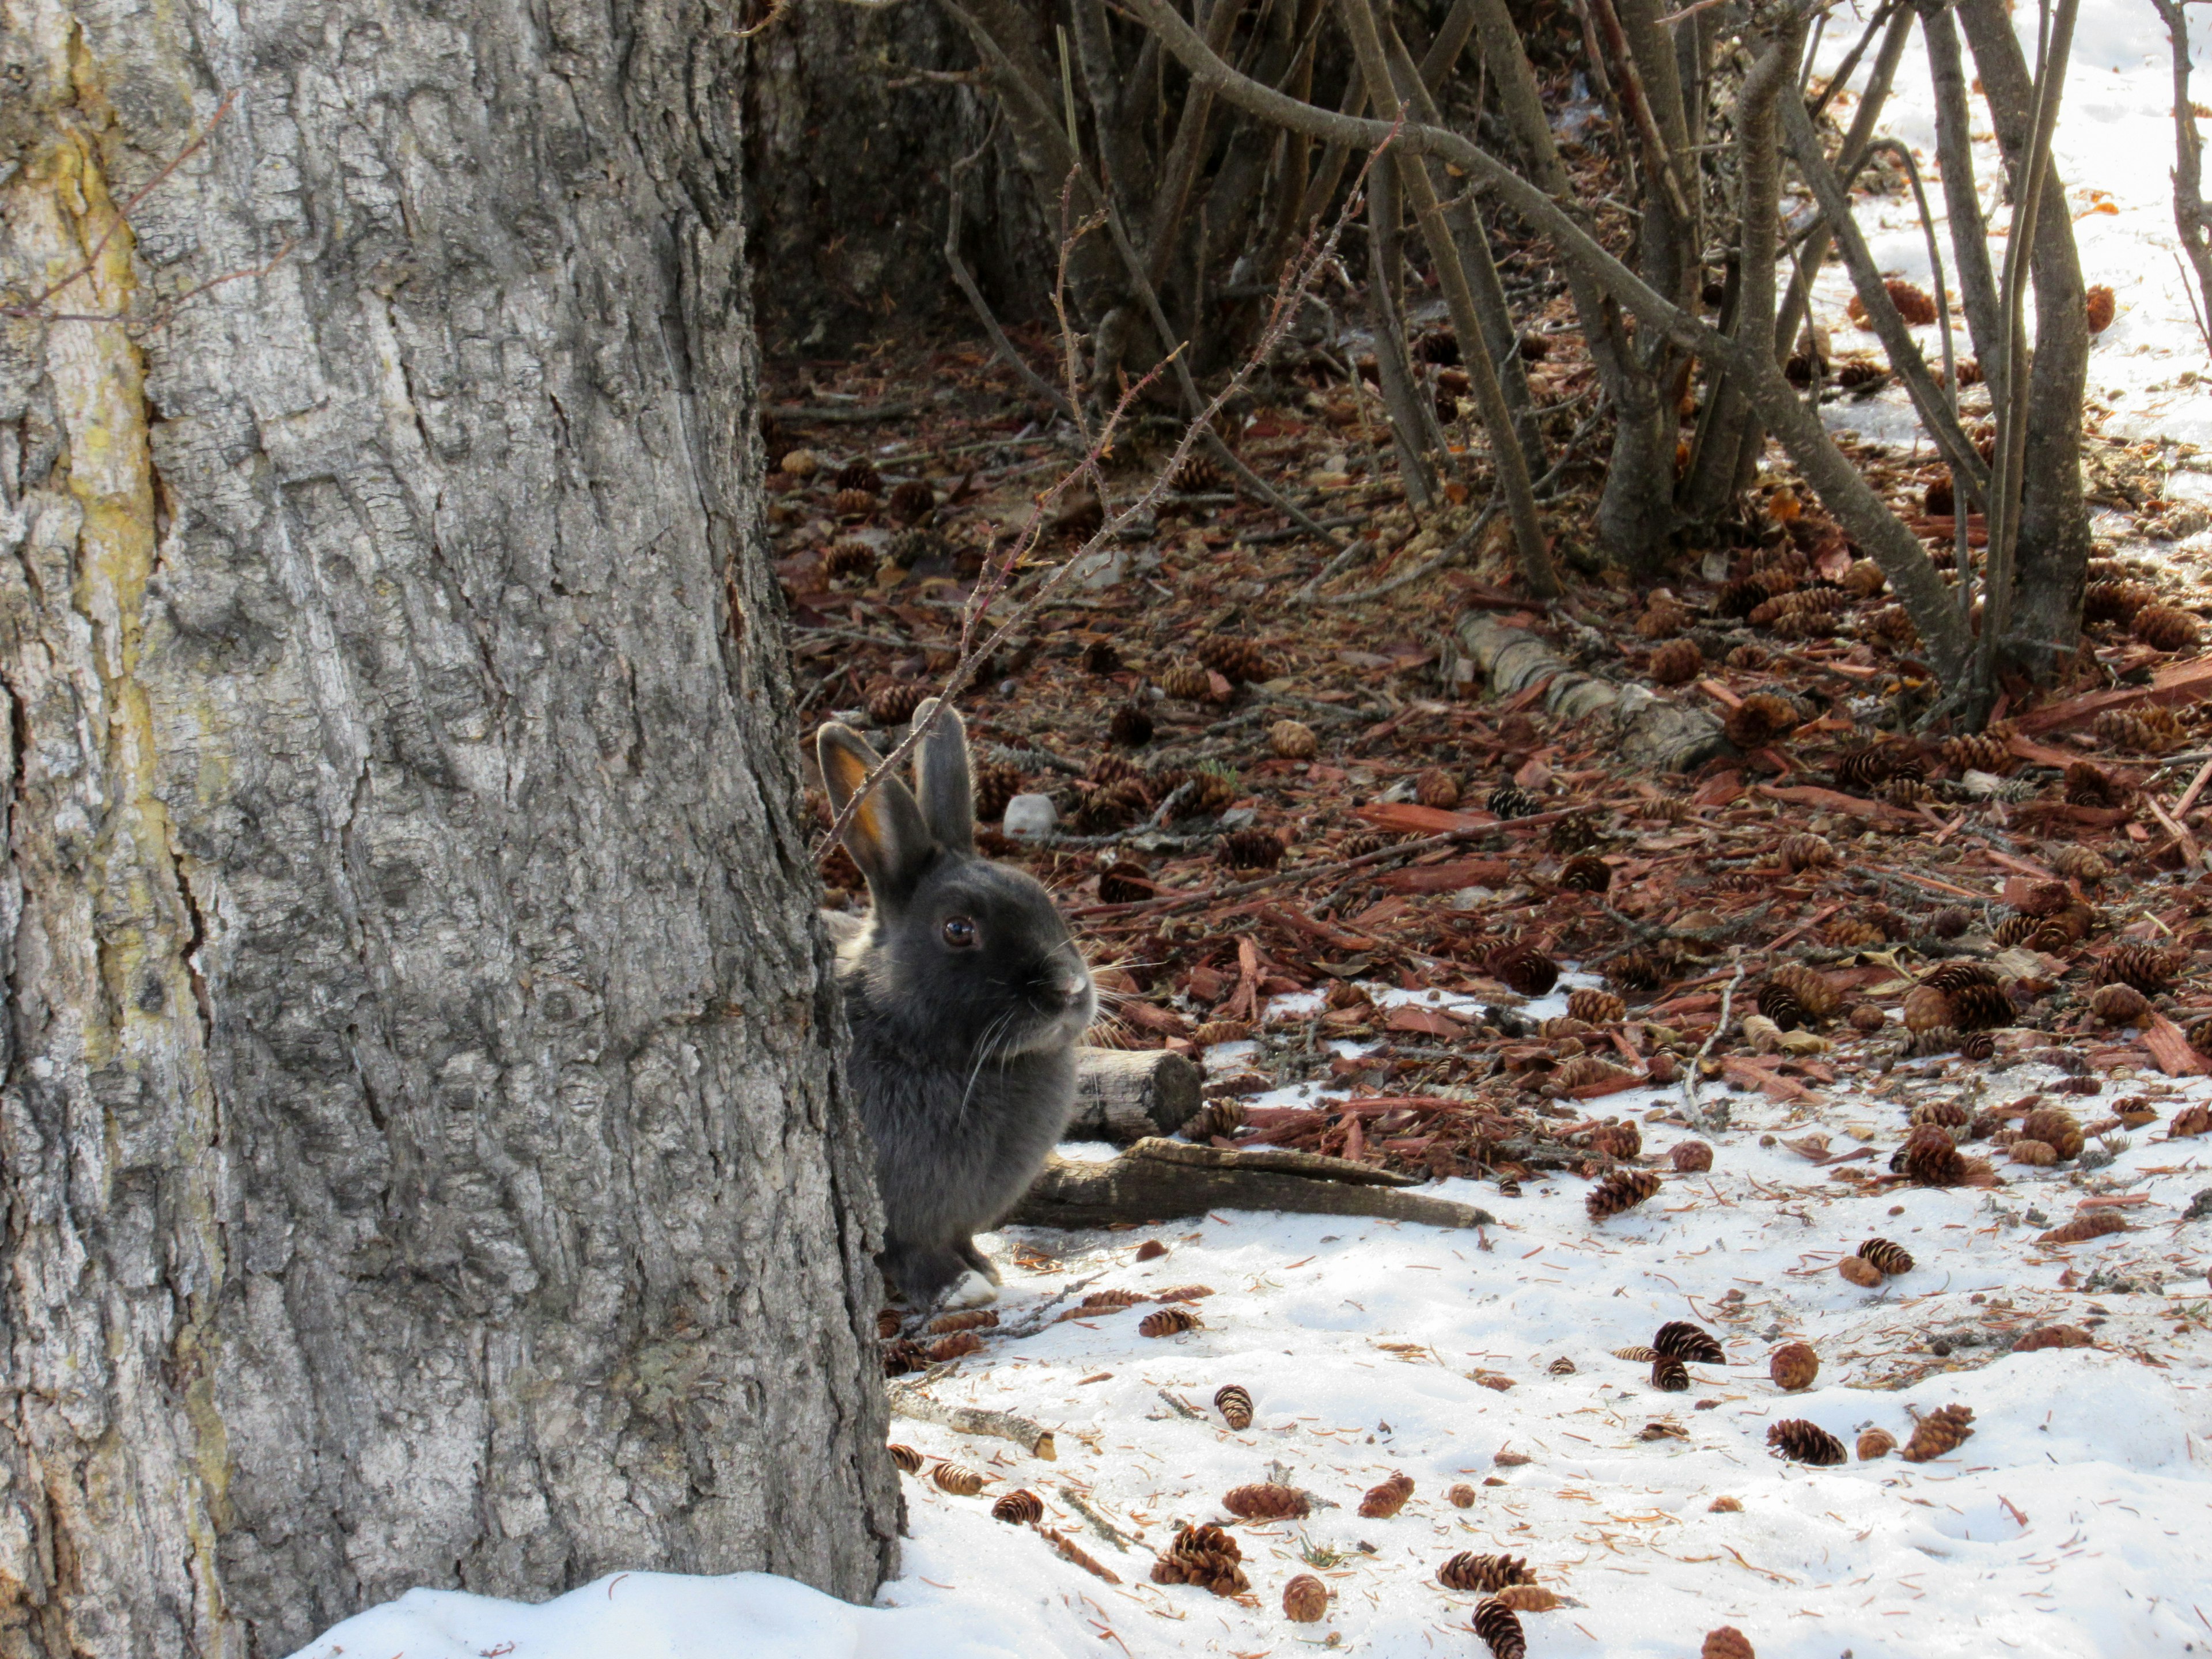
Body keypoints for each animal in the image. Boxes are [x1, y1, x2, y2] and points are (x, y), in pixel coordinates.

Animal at [814, 703, 1097, 1309]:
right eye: (958, 929)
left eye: (1043, 897)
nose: (1068, 988)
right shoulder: (899, 1220)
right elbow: (912, 1254)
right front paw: (961, 1289)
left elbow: (961, 1238)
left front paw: (983, 1269)